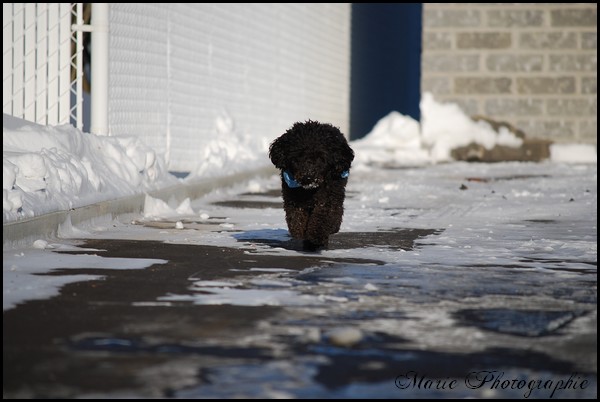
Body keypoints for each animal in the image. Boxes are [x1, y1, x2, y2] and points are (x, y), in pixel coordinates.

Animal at [268, 121, 356, 250]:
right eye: (298, 155)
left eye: (321, 158)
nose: (308, 177)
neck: (309, 191)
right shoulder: (293, 199)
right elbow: (296, 220)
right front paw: (301, 235)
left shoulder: (327, 199)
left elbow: (321, 218)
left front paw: (316, 238)